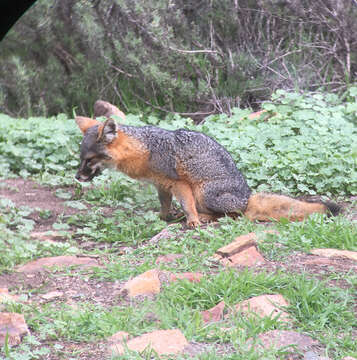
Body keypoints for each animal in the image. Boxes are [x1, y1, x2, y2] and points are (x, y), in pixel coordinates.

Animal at [74, 101, 340, 226]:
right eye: (80, 159)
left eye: (89, 160)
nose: (77, 177)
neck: (144, 150)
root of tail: (248, 196)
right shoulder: (161, 185)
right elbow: (164, 204)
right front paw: (163, 217)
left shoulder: (180, 183)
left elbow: (186, 204)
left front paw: (191, 220)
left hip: (205, 193)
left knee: (233, 215)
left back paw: (204, 217)